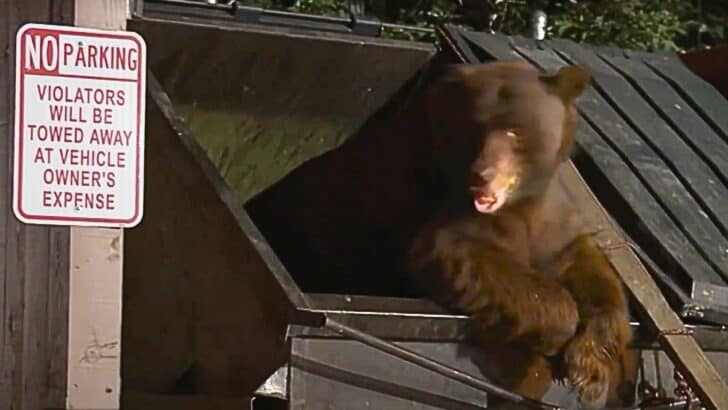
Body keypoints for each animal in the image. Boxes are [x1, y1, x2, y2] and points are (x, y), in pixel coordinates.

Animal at [407, 60, 636, 408]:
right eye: (475, 126)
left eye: (515, 131)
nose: (481, 175)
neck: (520, 205)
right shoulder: (455, 224)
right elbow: (469, 259)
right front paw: (554, 338)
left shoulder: (558, 226)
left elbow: (594, 273)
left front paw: (590, 370)